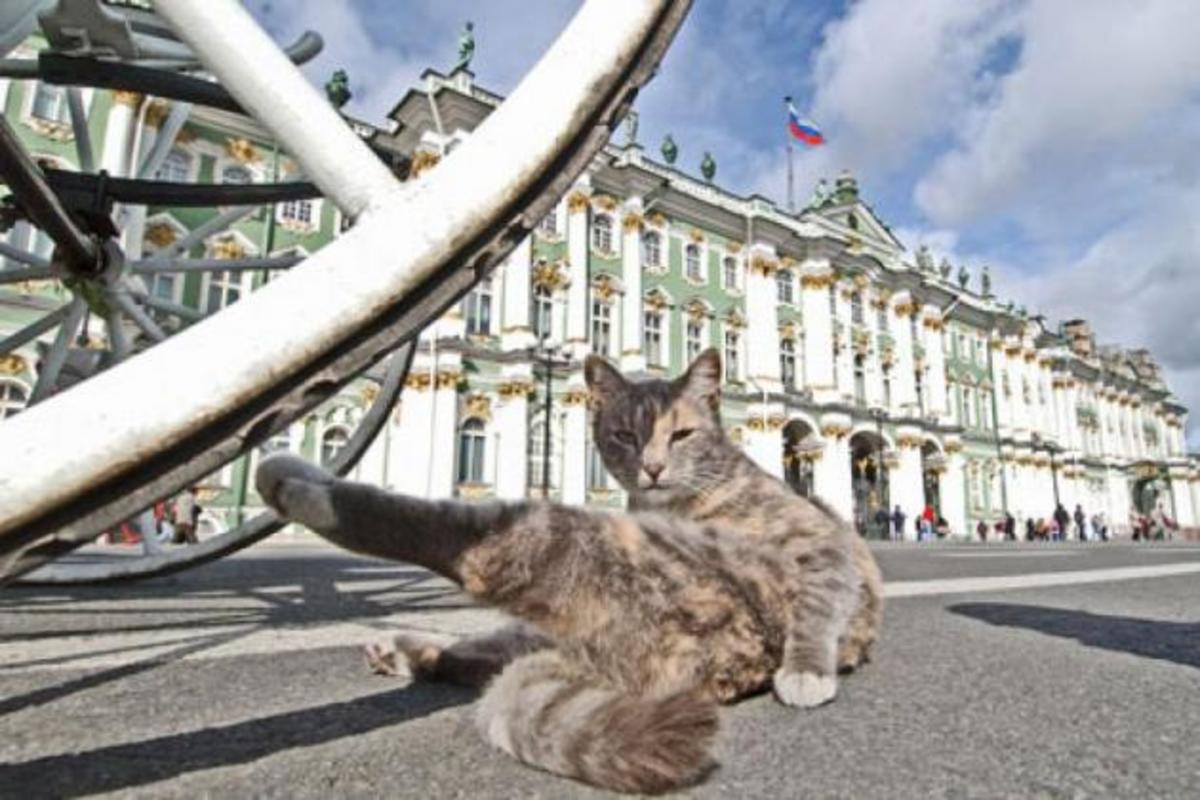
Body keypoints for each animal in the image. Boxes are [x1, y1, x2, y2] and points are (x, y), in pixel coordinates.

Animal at [258, 347, 883, 796]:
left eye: (680, 434)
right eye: (625, 436)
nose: (653, 469)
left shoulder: (822, 543)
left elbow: (819, 606)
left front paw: (806, 671)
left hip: (549, 539)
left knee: (451, 539)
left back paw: (299, 485)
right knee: (472, 657)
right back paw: (402, 649)